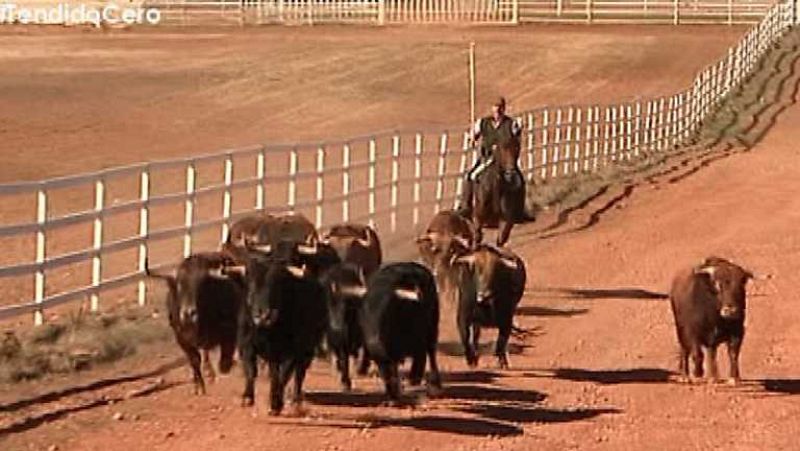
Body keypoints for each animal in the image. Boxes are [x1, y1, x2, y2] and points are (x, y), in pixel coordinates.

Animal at [144, 252, 244, 394]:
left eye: (202, 285)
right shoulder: (182, 340)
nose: (188, 313)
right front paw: (199, 386)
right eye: (180, 285)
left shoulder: (230, 332)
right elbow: (195, 360)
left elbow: (225, 360)